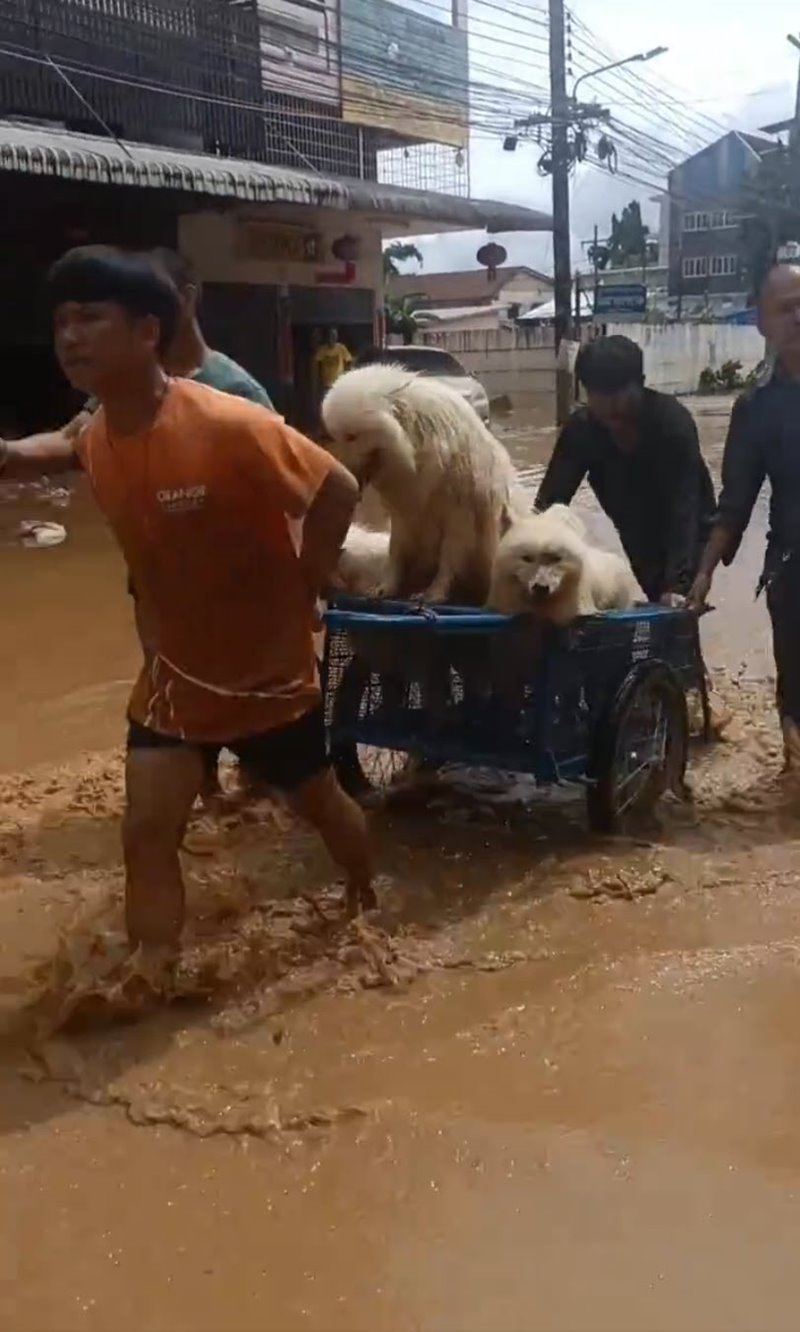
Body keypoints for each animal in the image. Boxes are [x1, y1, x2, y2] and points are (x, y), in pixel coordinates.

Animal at [320, 362, 527, 607]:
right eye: (336, 436)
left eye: (352, 436)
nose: (338, 470)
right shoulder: (403, 512)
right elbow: (396, 553)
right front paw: (385, 588)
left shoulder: (460, 518)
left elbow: (448, 561)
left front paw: (434, 593)